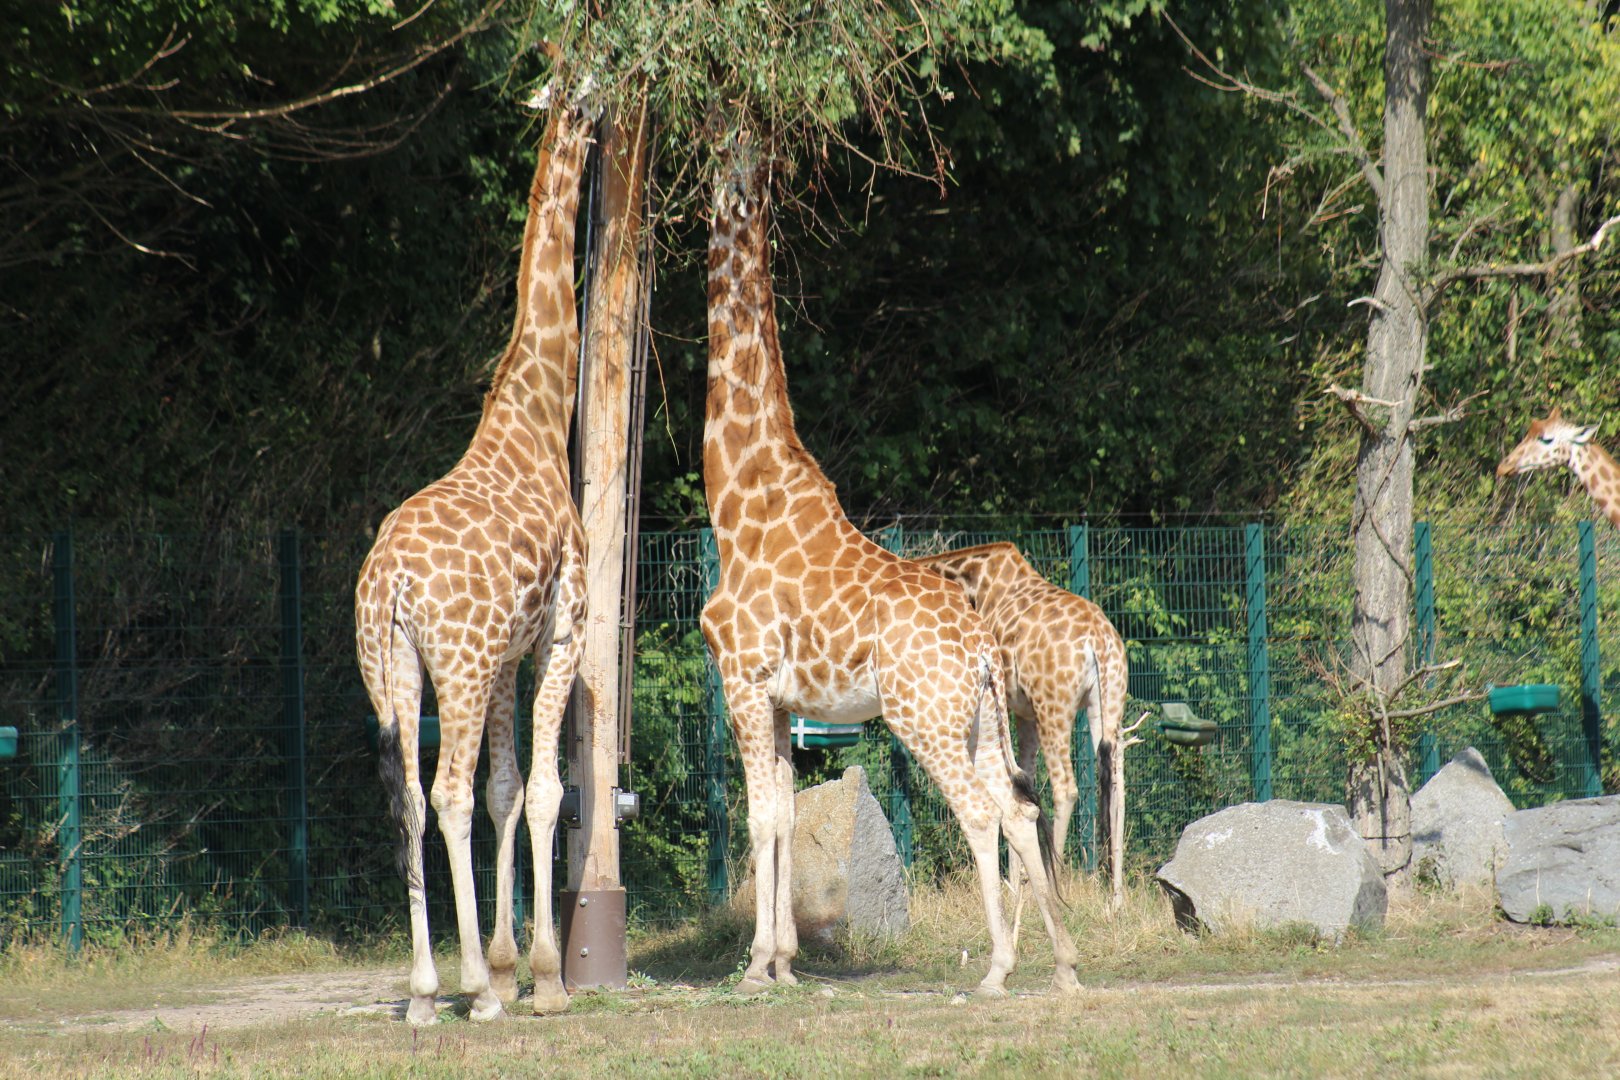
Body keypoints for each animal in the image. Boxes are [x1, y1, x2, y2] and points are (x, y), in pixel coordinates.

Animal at [354, 99, 592, 1024]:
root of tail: (388, 579)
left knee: (409, 798)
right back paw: (467, 990)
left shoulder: (502, 662)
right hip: (450, 664)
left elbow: (507, 791)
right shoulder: (564, 633)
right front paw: (543, 977)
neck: (538, 415)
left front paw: (507, 960)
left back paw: (426, 991)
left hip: (392, 666)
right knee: (445, 792)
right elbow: (548, 789)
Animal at [700, 140, 1081, 999]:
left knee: (980, 812)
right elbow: (783, 813)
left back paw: (999, 968)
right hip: (978, 718)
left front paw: (755, 967)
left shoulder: (744, 680)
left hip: (923, 718)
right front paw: (784, 961)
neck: (738, 505)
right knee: (1020, 808)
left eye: (723, 164)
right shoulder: (782, 700)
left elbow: (757, 816)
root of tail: (981, 649)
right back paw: (1067, 963)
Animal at [912, 542, 1132, 910]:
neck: (974, 584)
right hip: (1107, 701)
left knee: (1066, 788)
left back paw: (1057, 884)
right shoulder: (1023, 713)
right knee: (1117, 784)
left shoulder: (1007, 707)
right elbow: (1022, 782)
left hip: (1054, 706)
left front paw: (1021, 885)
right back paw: (1115, 898)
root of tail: (1100, 640)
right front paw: (1018, 883)